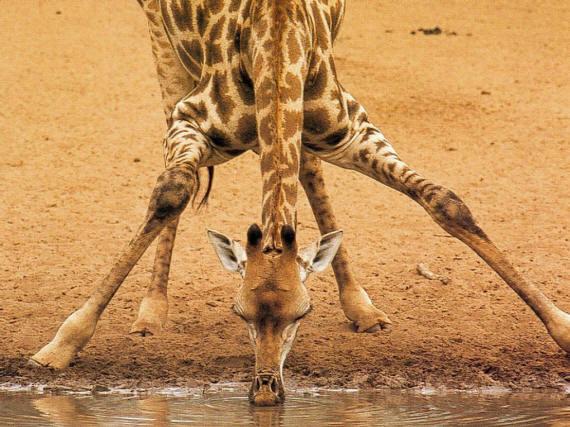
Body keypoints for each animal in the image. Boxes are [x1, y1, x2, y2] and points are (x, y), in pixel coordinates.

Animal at [32, 0, 568, 408]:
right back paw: (150, 312)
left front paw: (561, 327)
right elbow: (171, 192)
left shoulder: (350, 129)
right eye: (238, 314)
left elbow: (445, 201)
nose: (266, 393)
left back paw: (362, 307)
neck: (276, 41)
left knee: (306, 166)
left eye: (303, 314)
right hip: (162, 42)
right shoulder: (193, 120)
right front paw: (61, 344)